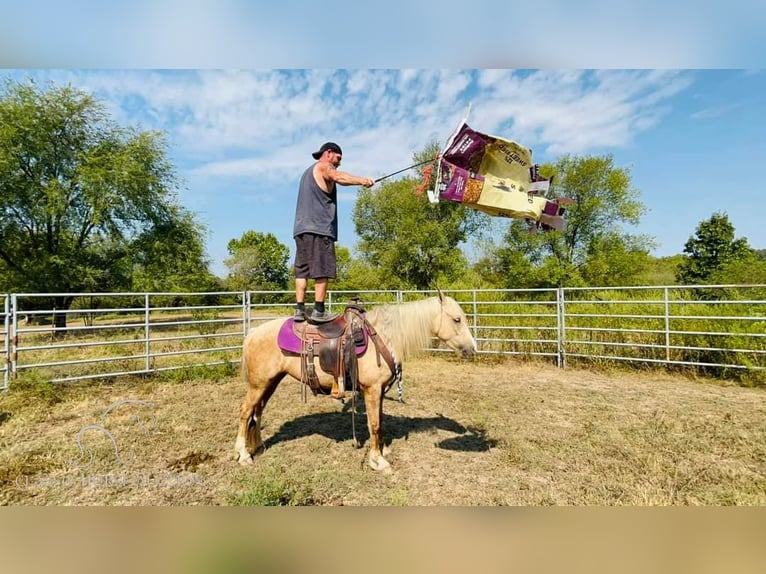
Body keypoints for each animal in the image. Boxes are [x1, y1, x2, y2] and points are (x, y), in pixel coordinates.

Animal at [234, 294, 476, 474]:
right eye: (457, 319)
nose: (472, 349)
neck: (384, 337)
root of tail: (253, 332)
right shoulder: (372, 389)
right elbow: (374, 425)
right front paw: (378, 461)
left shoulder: (379, 392)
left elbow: (379, 423)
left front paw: (382, 451)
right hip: (258, 384)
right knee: (246, 412)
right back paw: (243, 455)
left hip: (270, 382)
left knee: (258, 411)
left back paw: (257, 446)